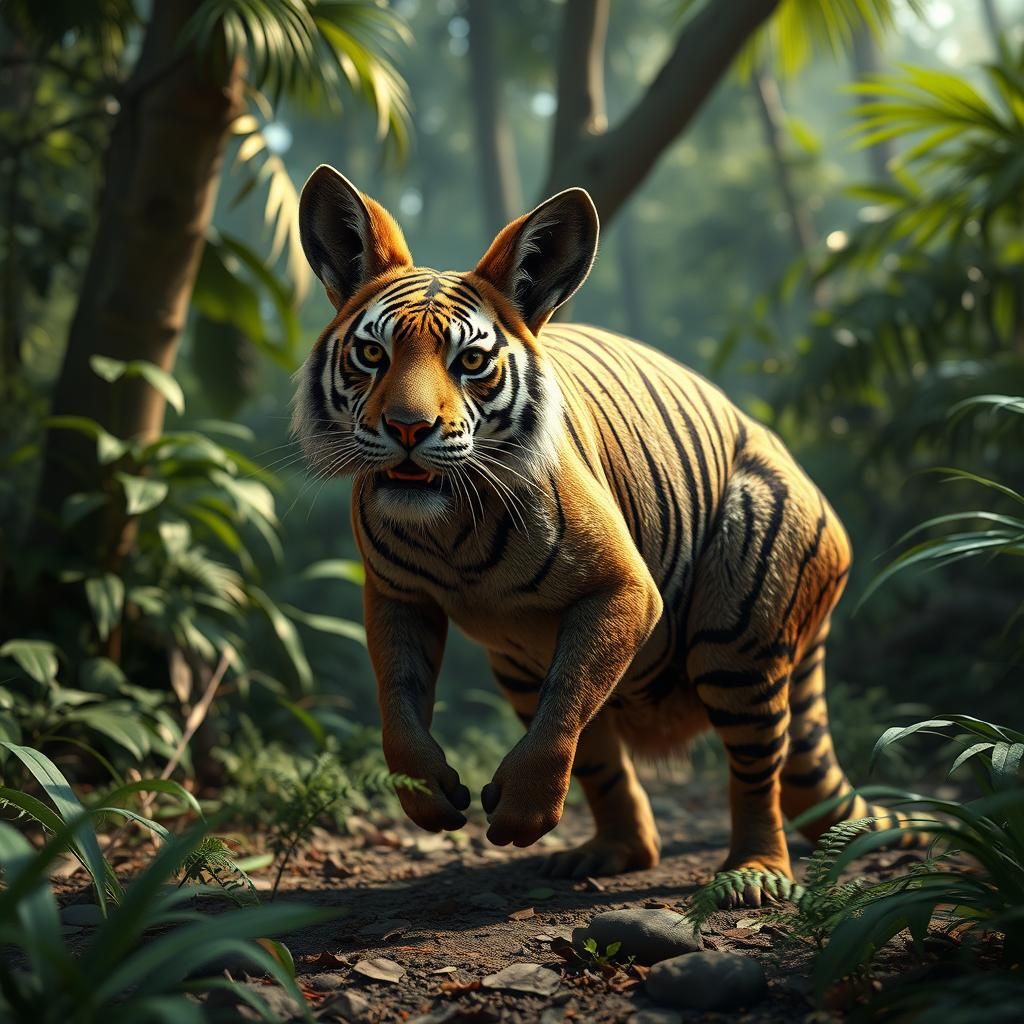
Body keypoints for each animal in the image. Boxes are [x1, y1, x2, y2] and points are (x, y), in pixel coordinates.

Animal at [291, 164, 918, 907]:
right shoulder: (396, 597)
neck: (452, 531)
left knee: (754, 769)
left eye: (470, 361)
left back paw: (754, 872)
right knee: (605, 763)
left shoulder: (625, 589)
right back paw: (609, 851)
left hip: (739, 634)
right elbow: (402, 707)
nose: (409, 428)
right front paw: (430, 796)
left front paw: (520, 809)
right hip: (521, 664)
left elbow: (565, 709)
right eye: (371, 354)